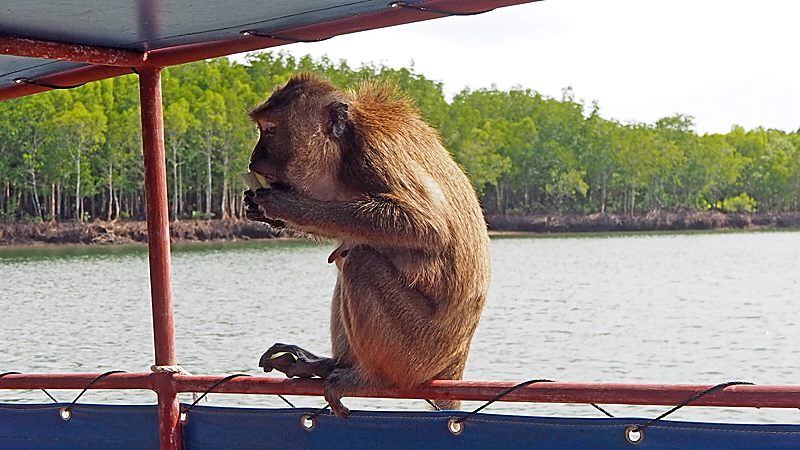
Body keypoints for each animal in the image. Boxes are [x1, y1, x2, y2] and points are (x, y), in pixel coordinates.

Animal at [247, 74, 490, 418]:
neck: (343, 152)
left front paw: (288, 207)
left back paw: (370, 378)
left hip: (416, 353)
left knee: (359, 261)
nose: (254, 159)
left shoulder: (374, 155)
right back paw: (327, 364)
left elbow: (428, 227)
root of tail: (455, 362)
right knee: (348, 257)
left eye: (270, 130)